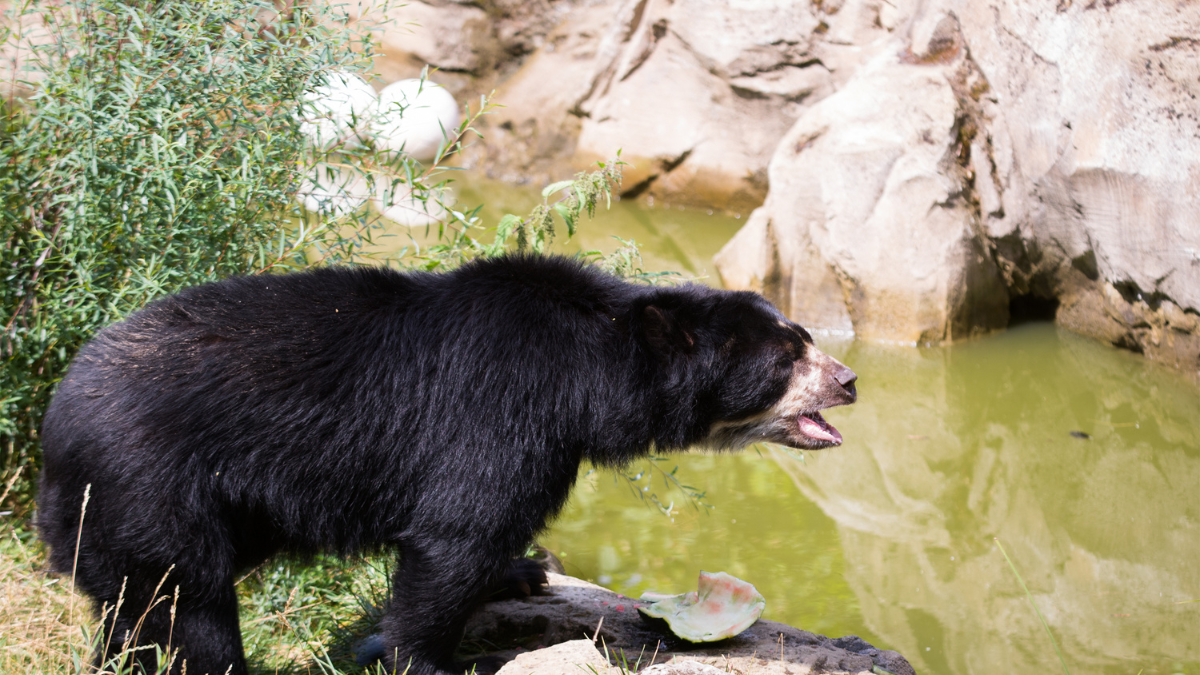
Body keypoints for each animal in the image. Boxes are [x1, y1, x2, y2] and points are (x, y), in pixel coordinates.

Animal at [37, 254, 857, 675]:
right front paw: (428, 660)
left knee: (131, 608)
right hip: (151, 484)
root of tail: (56, 421)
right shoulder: (505, 405)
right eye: (786, 359)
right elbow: (458, 534)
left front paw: (521, 571)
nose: (850, 380)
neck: (593, 369)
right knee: (188, 607)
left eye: (808, 337)